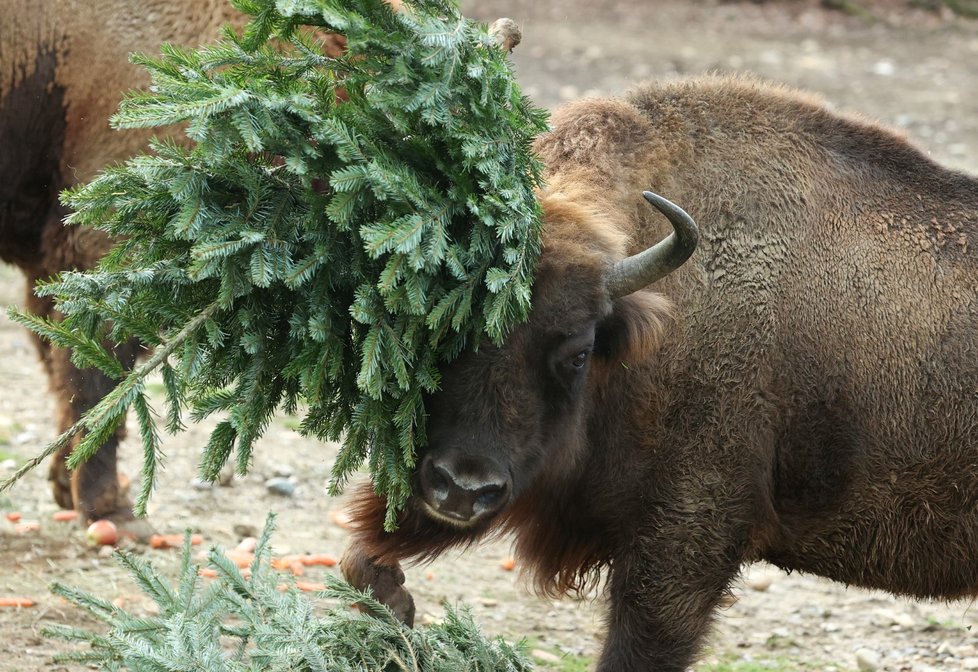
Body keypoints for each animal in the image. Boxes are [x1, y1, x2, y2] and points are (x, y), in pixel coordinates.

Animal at [342, 76, 976, 668]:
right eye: (438, 329)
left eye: (579, 351)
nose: (464, 488)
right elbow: (359, 560)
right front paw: (394, 603)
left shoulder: (680, 554)